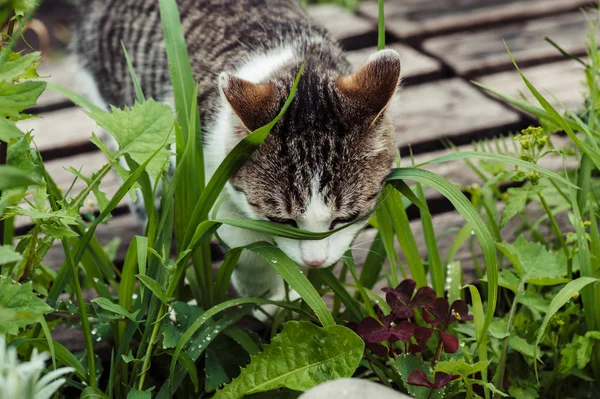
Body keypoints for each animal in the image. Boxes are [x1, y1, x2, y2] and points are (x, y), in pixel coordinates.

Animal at [74, 0, 404, 310]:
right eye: (280, 220)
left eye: (346, 218)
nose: (314, 261)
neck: (296, 63)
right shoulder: (208, 174)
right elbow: (247, 248)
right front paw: (266, 298)